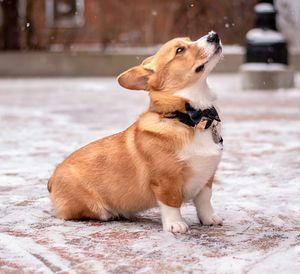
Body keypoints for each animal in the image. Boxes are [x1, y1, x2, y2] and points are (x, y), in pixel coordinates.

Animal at [48, 32, 224, 233]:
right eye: (180, 50)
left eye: (189, 39)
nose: (213, 35)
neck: (190, 118)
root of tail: (52, 178)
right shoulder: (166, 180)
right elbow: (171, 203)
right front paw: (175, 224)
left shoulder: (207, 177)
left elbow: (204, 201)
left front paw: (210, 219)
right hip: (93, 207)